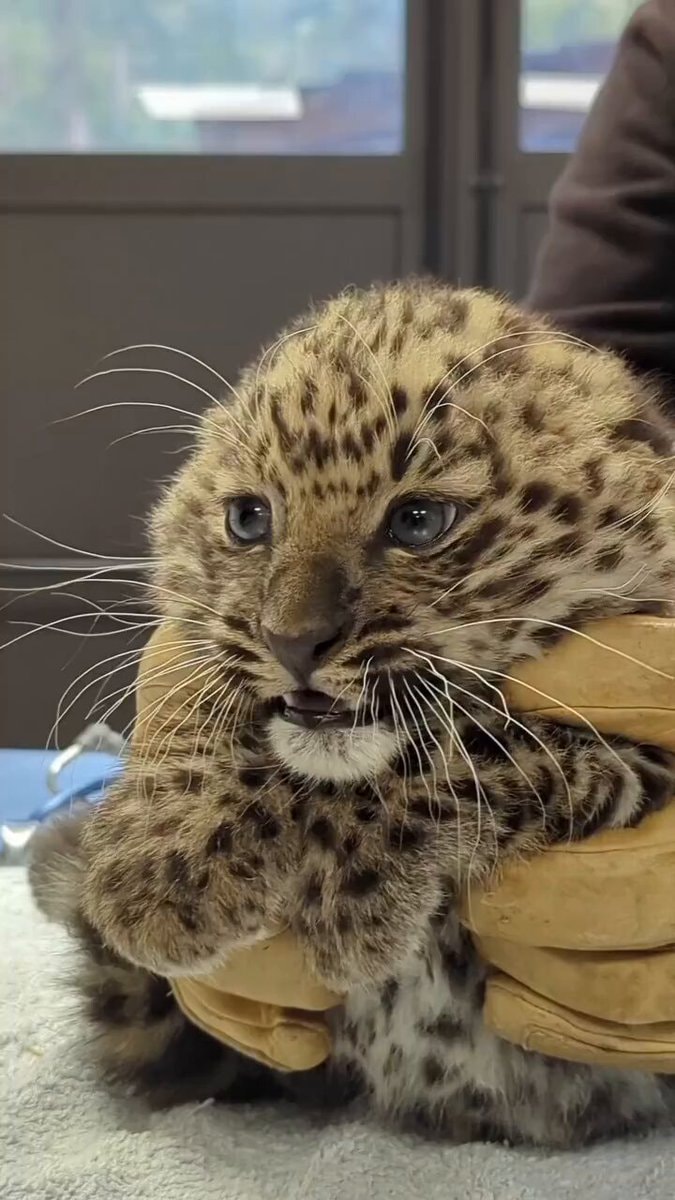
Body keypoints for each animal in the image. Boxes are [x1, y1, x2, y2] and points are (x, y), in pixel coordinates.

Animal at [30, 278, 675, 1147]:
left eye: (418, 522)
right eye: (249, 520)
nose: (292, 641)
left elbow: (478, 748)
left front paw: (348, 899)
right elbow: (209, 684)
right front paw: (159, 851)